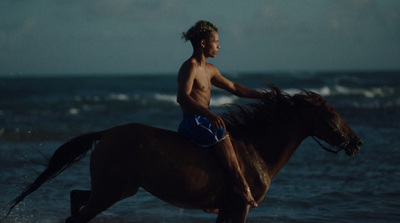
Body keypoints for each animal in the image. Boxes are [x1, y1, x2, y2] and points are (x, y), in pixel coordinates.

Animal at [1, 84, 362, 222]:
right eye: (331, 113)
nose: (356, 142)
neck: (255, 150)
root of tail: (106, 133)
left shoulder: (226, 208)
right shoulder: (240, 206)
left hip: (119, 189)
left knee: (76, 198)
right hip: (111, 191)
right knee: (77, 214)